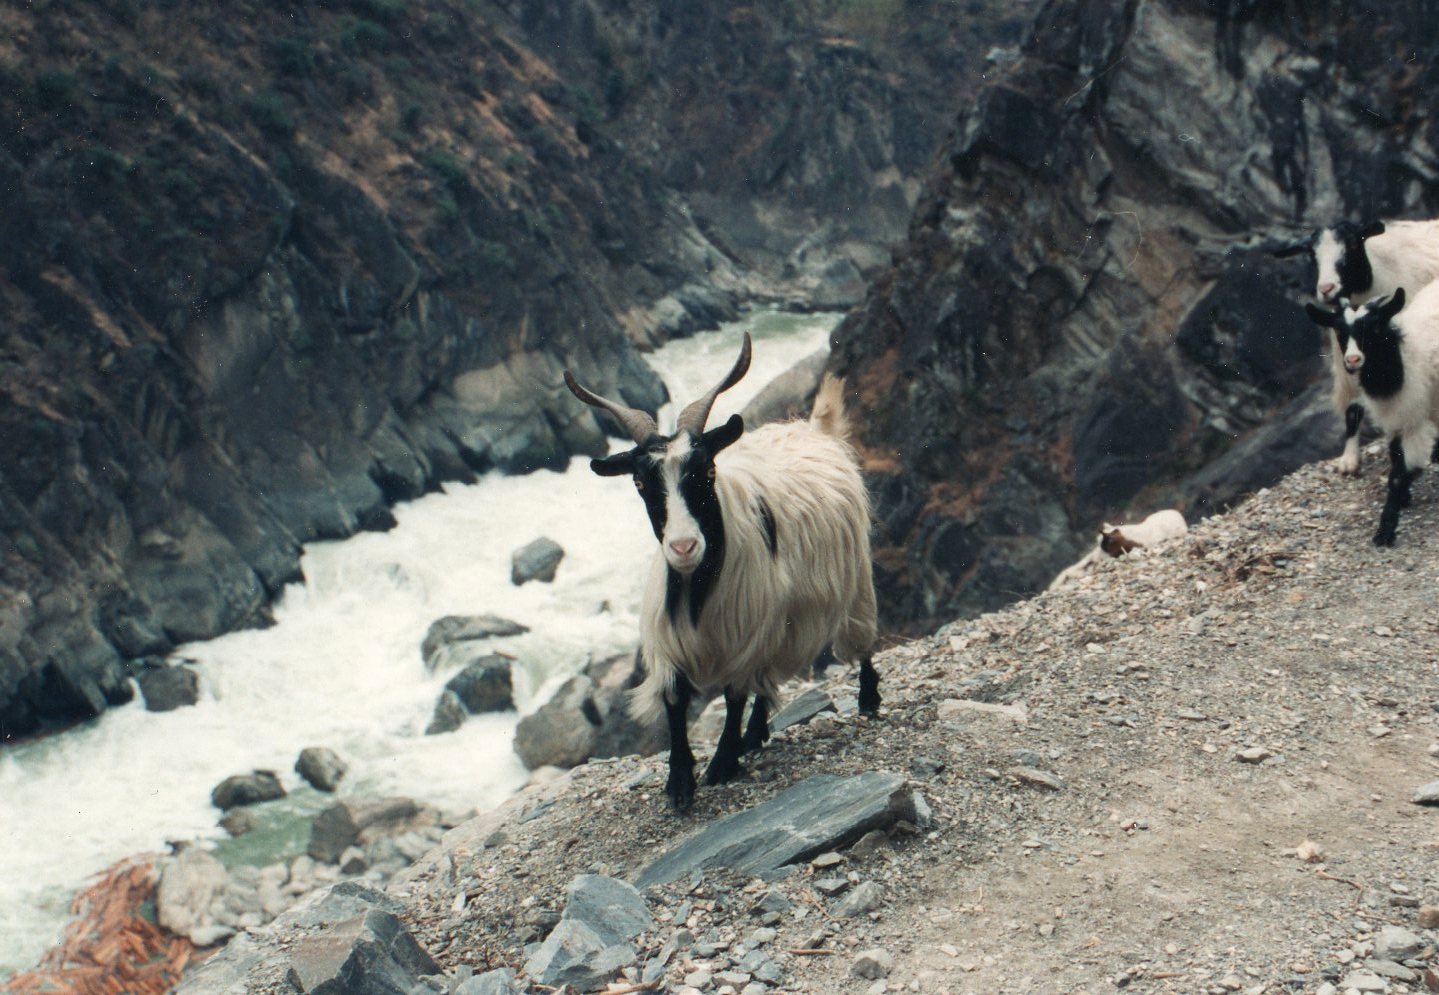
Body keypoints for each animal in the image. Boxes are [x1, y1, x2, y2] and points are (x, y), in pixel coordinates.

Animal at [561, 334, 874, 812]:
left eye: (706, 470)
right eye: (640, 483)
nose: (683, 547)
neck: (697, 587)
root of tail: (816, 432)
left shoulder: (747, 629)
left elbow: (733, 694)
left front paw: (722, 764)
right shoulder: (671, 641)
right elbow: (675, 699)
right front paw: (679, 782)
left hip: (853, 580)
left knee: (858, 641)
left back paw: (869, 698)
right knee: (769, 677)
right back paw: (756, 734)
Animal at [1277, 218, 1439, 475]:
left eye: (1352, 244)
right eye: (1312, 254)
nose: (1326, 289)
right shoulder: (1347, 359)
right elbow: (1353, 406)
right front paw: (1349, 459)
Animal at [1306, 283, 1439, 550]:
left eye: (1374, 326)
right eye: (1339, 330)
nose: (1352, 360)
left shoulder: (1415, 421)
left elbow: (1397, 476)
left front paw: (1384, 532)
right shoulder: (1400, 420)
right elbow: (1396, 462)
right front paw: (1404, 498)